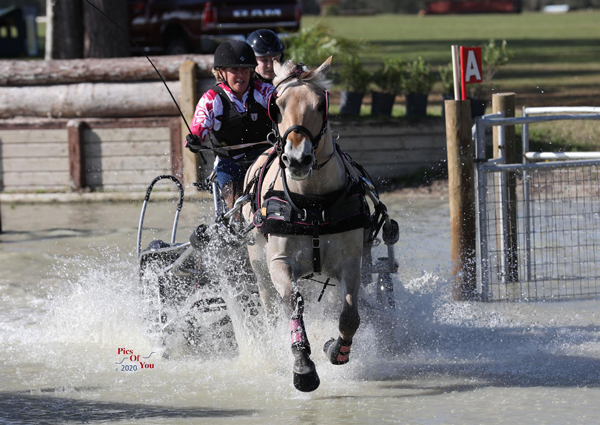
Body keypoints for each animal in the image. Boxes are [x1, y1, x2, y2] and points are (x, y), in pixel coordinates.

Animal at [241, 57, 368, 390]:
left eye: (321, 105)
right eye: (277, 105)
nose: (298, 159)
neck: (313, 204)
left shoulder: (351, 261)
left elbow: (349, 314)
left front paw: (335, 349)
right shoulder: (279, 262)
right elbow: (293, 303)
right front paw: (303, 365)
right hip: (258, 263)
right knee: (270, 306)